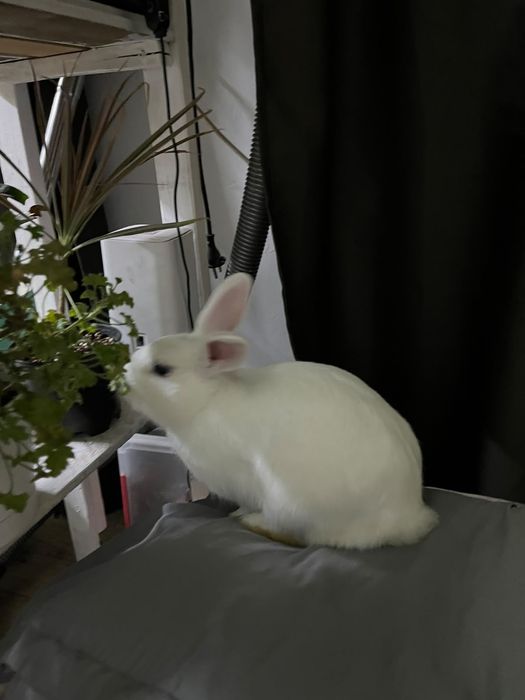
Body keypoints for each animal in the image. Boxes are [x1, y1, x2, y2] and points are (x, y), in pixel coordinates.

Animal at [125, 273, 438, 549]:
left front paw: (239, 512)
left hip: (292, 505)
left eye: (162, 369)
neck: (207, 400)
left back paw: (251, 521)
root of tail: (408, 518)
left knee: (299, 536)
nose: (124, 381)